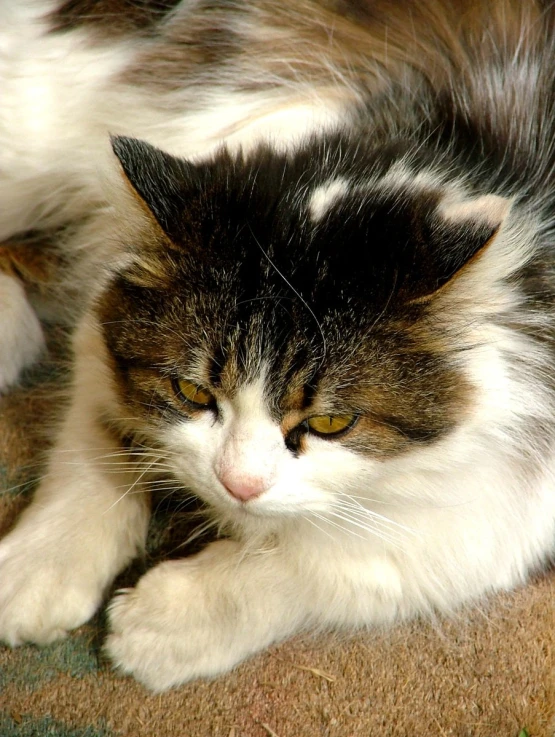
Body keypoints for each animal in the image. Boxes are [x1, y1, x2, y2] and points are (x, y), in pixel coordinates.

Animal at [1, 0, 555, 688]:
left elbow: (334, 564)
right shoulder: (102, 333)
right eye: (191, 392)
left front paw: (167, 625)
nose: (238, 485)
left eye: (332, 422)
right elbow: (94, 446)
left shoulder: (506, 503)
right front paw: (40, 566)